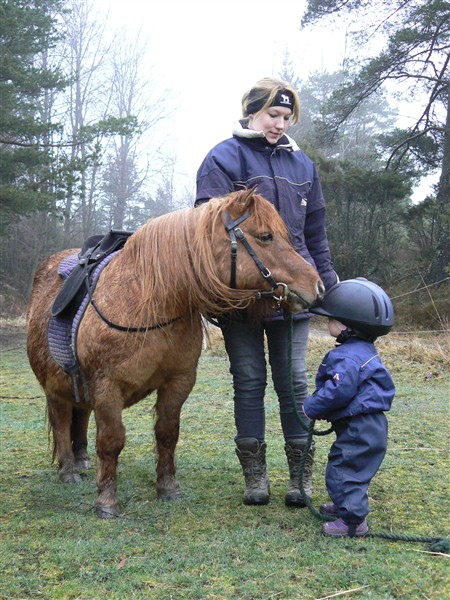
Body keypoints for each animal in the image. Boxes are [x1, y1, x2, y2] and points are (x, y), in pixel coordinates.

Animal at [25, 190, 324, 516]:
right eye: (266, 236)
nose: (317, 286)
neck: (148, 303)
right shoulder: (107, 387)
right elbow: (111, 440)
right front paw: (107, 501)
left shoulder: (178, 382)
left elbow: (167, 434)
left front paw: (168, 488)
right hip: (55, 386)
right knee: (61, 421)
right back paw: (69, 470)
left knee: (79, 417)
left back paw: (81, 460)